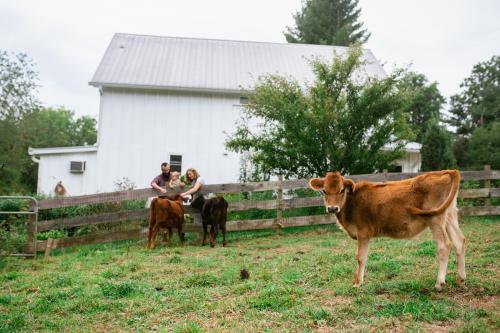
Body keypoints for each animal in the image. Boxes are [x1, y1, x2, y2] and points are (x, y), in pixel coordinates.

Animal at [308, 170, 464, 290]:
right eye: (324, 191)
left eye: (341, 190)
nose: (332, 208)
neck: (351, 203)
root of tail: (445, 171)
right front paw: (356, 279)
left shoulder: (363, 233)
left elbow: (361, 257)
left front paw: (358, 283)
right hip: (449, 216)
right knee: (459, 242)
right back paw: (461, 279)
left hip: (435, 219)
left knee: (444, 245)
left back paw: (439, 283)